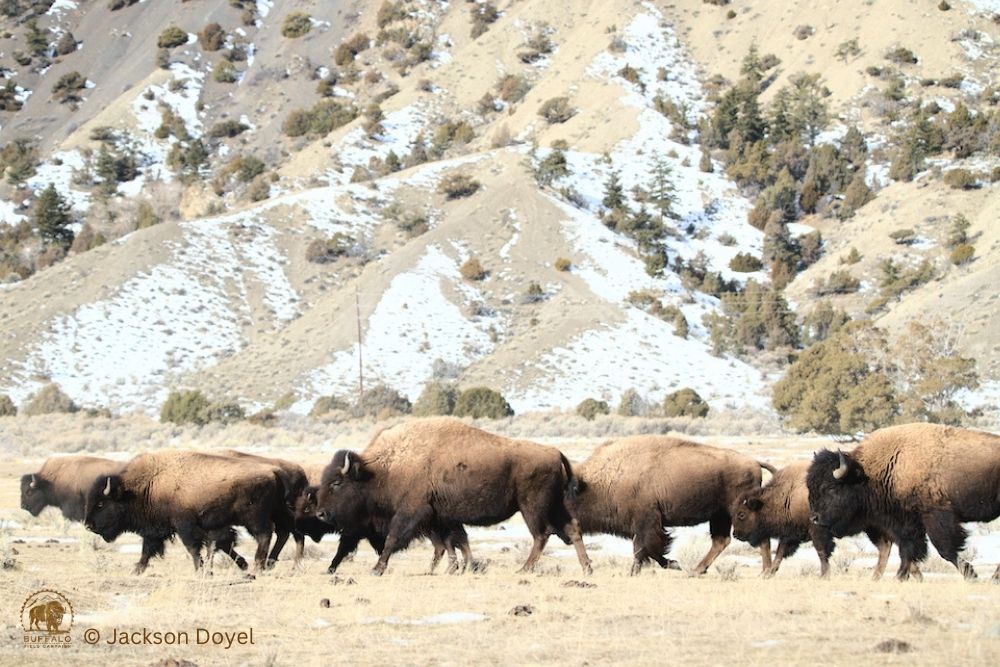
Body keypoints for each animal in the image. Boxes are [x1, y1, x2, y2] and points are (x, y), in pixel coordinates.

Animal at [83, 450, 295, 573]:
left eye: (101, 504)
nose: (89, 525)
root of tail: (274, 471)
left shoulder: (185, 525)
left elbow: (193, 547)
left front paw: (200, 570)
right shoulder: (159, 529)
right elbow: (147, 549)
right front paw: (137, 570)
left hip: (254, 518)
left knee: (265, 535)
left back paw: (260, 565)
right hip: (278, 513)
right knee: (283, 533)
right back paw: (268, 564)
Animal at [315, 417, 591, 575]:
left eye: (337, 483)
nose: (320, 512)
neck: (384, 468)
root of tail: (555, 452)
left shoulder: (412, 512)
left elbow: (394, 539)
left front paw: (377, 569)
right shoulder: (440, 518)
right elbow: (452, 542)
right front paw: (456, 569)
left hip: (531, 507)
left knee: (541, 535)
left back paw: (523, 569)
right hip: (554, 506)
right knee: (572, 529)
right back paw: (586, 568)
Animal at [572, 436, 775, 575]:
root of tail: (754, 463)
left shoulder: (647, 522)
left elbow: (643, 548)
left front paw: (636, 571)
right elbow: (649, 550)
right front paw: (673, 564)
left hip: (738, 512)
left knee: (759, 538)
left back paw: (766, 572)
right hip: (720, 515)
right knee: (720, 541)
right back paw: (697, 570)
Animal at [731, 461, 895, 578]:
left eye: (741, 514)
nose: (736, 534)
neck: (789, 494)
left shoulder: (817, 531)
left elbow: (821, 551)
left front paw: (824, 575)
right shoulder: (790, 534)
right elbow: (780, 553)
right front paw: (770, 573)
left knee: (887, 546)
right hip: (872, 529)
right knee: (885, 547)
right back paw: (877, 576)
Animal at [807, 423, 1000, 581]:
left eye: (831, 488)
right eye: (810, 487)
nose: (815, 518)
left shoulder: (935, 516)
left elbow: (945, 549)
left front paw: (971, 575)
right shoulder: (906, 524)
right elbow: (908, 550)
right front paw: (900, 577)